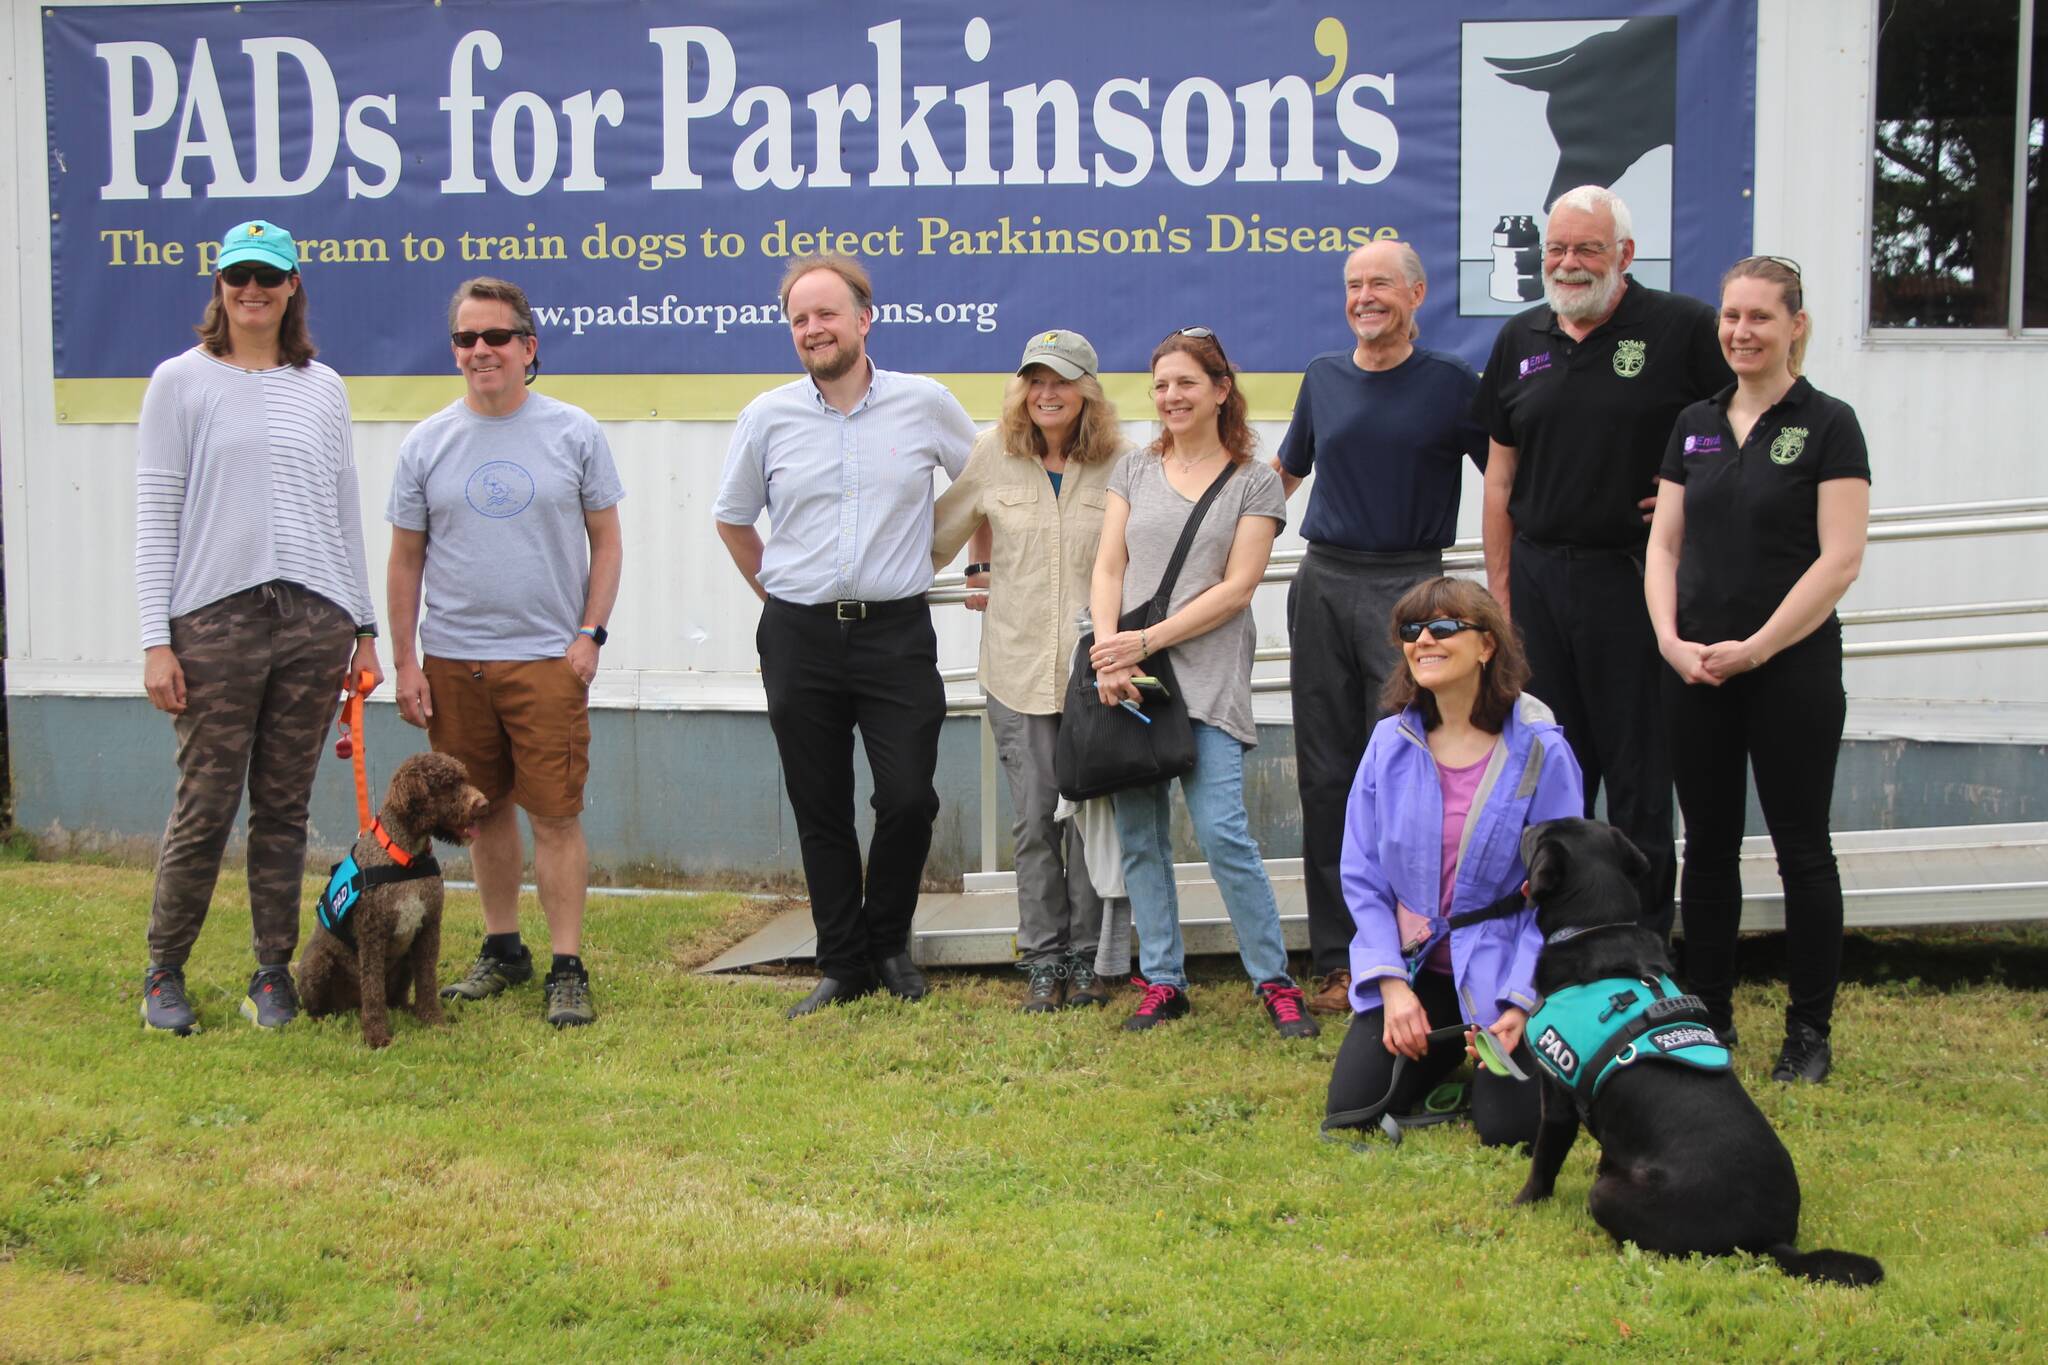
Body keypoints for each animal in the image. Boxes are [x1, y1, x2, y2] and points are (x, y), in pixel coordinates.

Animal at [296, 753, 491, 1055]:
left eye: (464, 778)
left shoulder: (428, 930)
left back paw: (409, 1009)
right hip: (317, 963)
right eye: (446, 785)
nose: (483, 804)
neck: (405, 857)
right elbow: (373, 989)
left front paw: (434, 1020)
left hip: (405, 961)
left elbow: (427, 982)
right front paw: (376, 1035)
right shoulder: (372, 935)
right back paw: (321, 1018)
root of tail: (351, 1005)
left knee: (394, 998)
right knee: (321, 1004)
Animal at [1515, 822, 1875, 1293]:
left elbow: (1544, 1161)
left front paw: (1521, 1204)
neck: (1595, 926)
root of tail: (1771, 1241)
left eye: (1537, 835)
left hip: (1609, 1197)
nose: (1524, 826)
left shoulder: (1558, 1098)